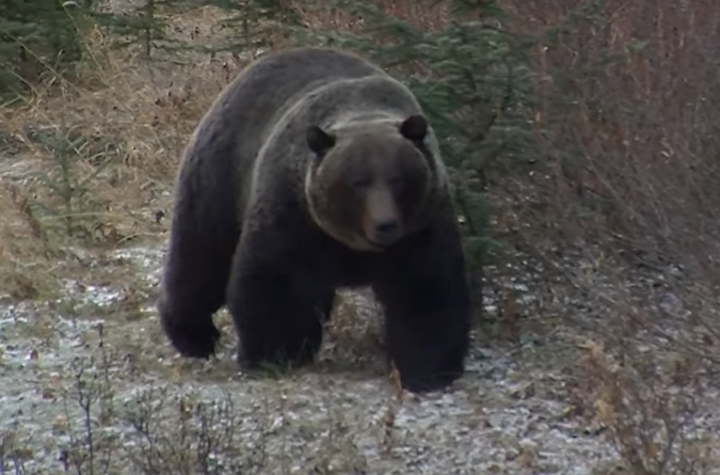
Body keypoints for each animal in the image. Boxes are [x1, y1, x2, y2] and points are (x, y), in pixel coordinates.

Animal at [158, 46, 472, 392]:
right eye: (358, 181)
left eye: (398, 179)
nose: (385, 225)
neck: (352, 244)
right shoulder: (292, 215)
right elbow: (272, 283)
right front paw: (271, 355)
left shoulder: (420, 228)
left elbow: (426, 292)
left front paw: (428, 370)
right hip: (220, 176)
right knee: (200, 258)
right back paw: (194, 336)